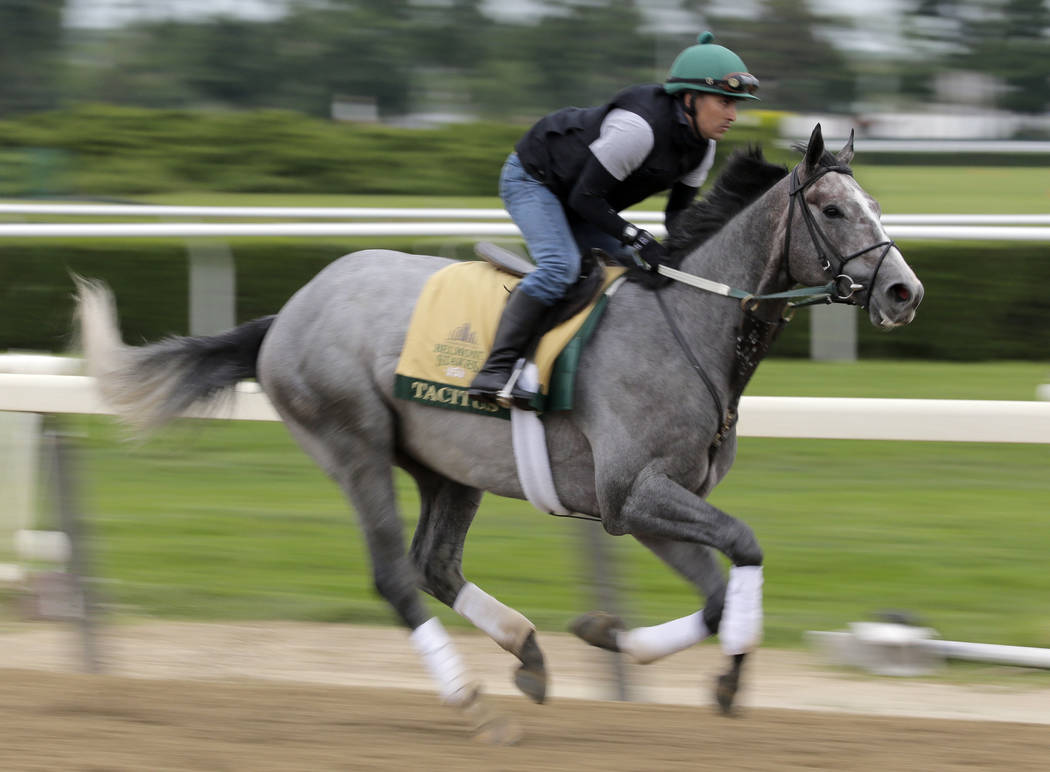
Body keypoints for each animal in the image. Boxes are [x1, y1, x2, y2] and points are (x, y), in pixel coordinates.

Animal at [76, 127, 919, 743]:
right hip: (352, 446)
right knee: (395, 577)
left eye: (877, 202)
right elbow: (744, 544)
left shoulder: (648, 503)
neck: (687, 320)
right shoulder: (633, 492)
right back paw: (471, 701)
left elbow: (717, 596)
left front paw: (625, 641)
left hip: (447, 469)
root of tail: (287, 313)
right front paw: (701, 665)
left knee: (435, 565)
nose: (904, 292)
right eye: (835, 210)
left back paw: (529, 651)